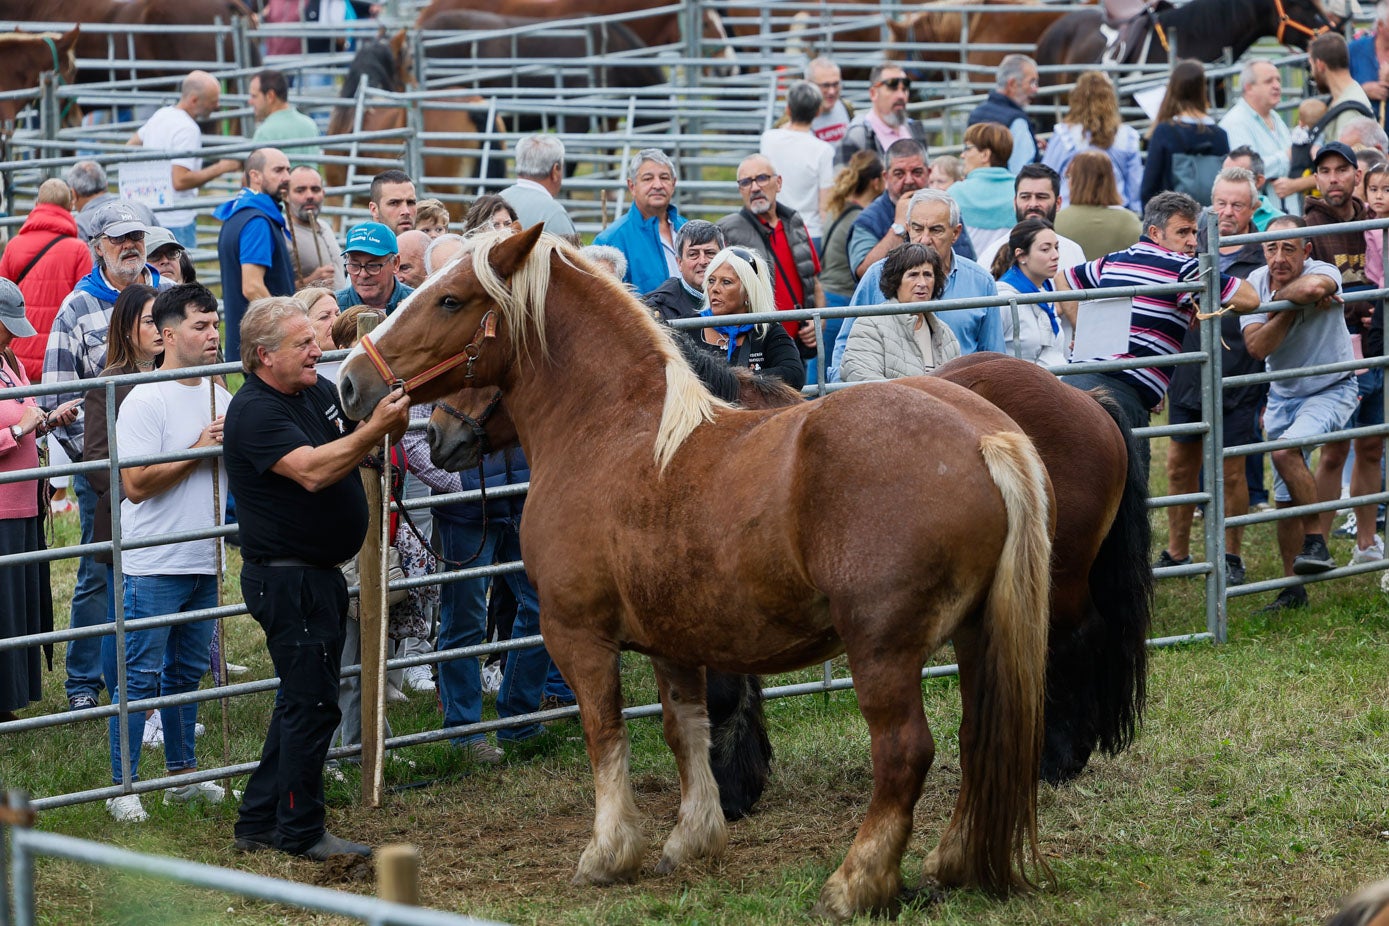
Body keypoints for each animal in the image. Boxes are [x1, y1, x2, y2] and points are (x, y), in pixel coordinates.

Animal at [336, 228, 1055, 919]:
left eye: (449, 300)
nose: (349, 383)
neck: (613, 433)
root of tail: (982, 437)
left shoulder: (578, 636)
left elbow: (606, 733)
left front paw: (608, 852)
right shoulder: (673, 639)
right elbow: (685, 731)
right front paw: (692, 839)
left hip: (882, 650)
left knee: (905, 754)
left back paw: (853, 885)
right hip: (975, 635)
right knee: (977, 737)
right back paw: (952, 863)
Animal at [426, 342, 1151, 786]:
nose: (437, 434)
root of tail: (1087, 403)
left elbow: (723, 695)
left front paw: (730, 790)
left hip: (1057, 579)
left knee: (1072, 641)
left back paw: (1059, 756)